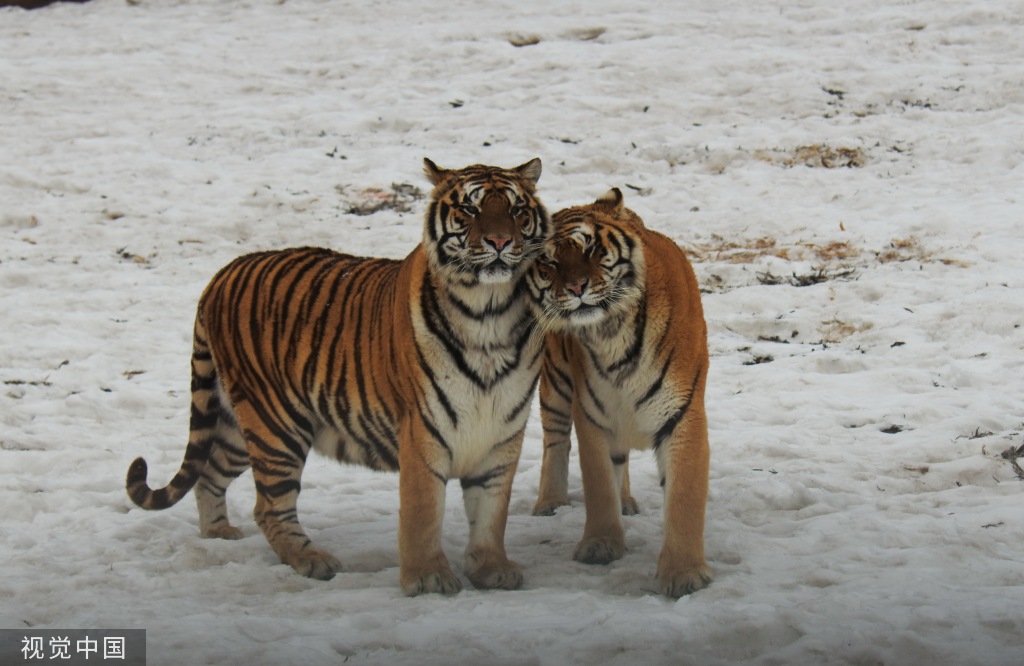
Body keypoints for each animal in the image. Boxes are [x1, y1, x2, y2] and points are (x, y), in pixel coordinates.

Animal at [125, 157, 552, 594]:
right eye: (470, 209)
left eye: (517, 210)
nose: (499, 241)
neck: (489, 313)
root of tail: (221, 274)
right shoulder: (422, 430)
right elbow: (423, 513)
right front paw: (428, 577)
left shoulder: (501, 433)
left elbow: (491, 512)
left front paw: (491, 568)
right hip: (275, 425)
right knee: (268, 506)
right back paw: (311, 560)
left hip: (241, 427)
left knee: (210, 473)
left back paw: (218, 535)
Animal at [528, 188, 712, 598]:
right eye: (548, 262)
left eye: (591, 248)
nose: (575, 288)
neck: (611, 332)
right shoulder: (592, 416)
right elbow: (599, 485)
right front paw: (600, 545)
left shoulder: (682, 415)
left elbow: (684, 497)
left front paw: (684, 574)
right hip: (556, 381)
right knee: (555, 441)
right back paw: (550, 502)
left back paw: (626, 500)